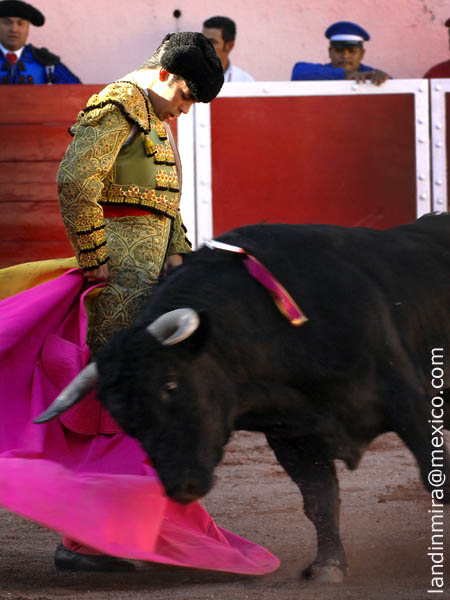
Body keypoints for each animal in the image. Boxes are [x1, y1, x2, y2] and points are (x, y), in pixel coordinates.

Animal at [37, 216, 450, 580]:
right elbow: (319, 498)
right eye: (126, 420)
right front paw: (328, 567)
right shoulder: (293, 435)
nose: (183, 487)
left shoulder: (407, 399)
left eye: (170, 385)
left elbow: (436, 475)